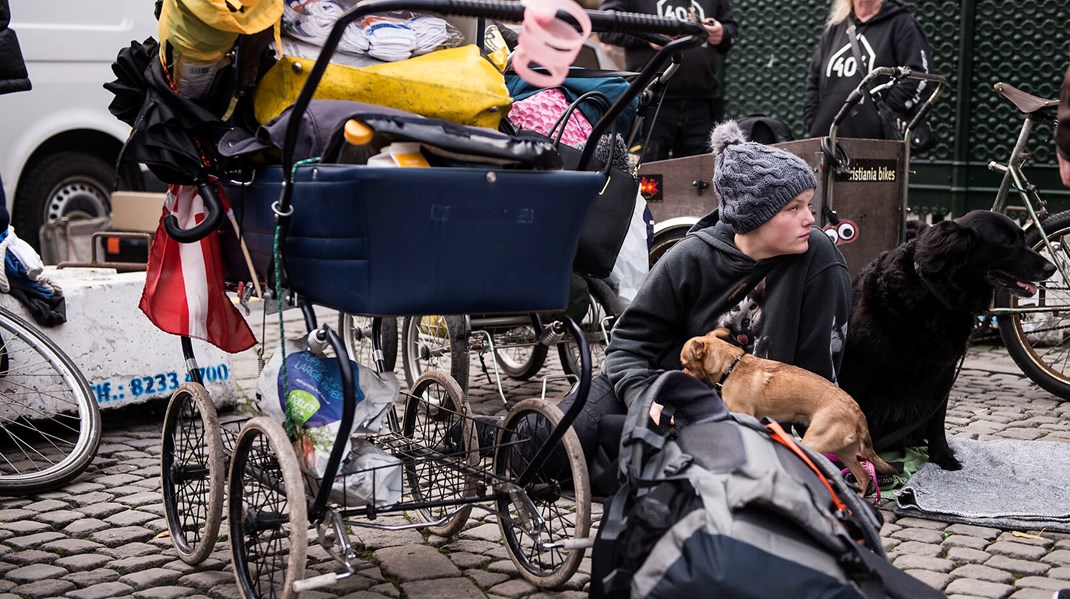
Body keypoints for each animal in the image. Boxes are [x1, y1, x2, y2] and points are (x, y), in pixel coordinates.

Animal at [680, 327, 898, 492]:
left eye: (686, 365)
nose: (678, 372)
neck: (730, 367)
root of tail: (857, 412)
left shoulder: (744, 415)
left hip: (814, 443)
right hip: (844, 452)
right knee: (863, 477)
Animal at [838, 208, 1057, 470]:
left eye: (1023, 239)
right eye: (1006, 243)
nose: (1051, 268)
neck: (933, 295)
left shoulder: (944, 371)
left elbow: (937, 419)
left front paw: (942, 457)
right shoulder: (860, 369)